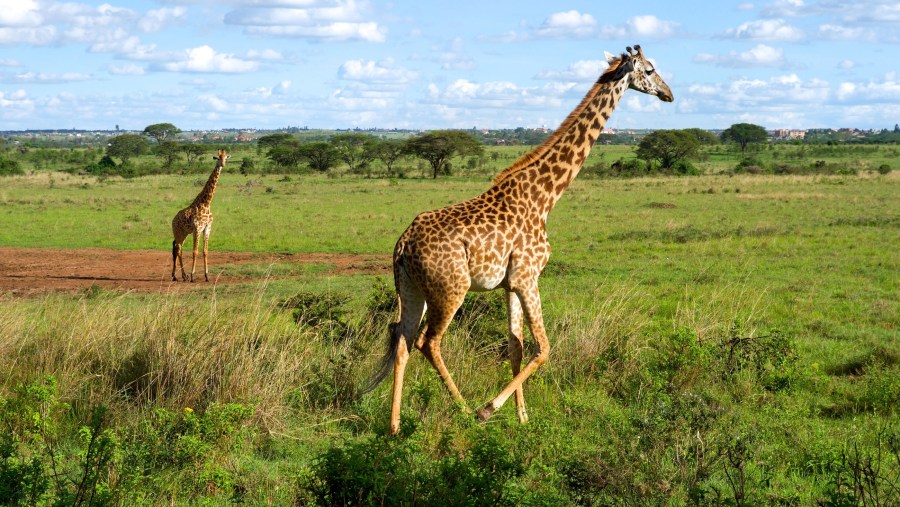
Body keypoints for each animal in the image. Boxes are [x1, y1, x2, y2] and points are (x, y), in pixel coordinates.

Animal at [171, 149, 229, 284]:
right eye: (217, 158)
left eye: (226, 158)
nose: (223, 165)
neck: (206, 203)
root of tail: (173, 220)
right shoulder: (197, 228)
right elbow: (195, 251)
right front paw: (193, 276)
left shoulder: (207, 228)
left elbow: (205, 251)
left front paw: (207, 276)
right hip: (178, 232)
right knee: (178, 249)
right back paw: (181, 276)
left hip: (184, 233)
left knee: (178, 249)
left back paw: (179, 276)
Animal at [368, 45, 676, 434]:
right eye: (649, 70)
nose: (669, 94)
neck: (545, 196)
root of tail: (403, 244)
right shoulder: (528, 276)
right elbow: (543, 348)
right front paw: (490, 409)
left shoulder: (510, 283)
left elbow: (515, 345)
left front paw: (522, 418)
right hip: (450, 289)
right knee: (429, 342)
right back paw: (465, 409)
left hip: (411, 290)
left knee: (403, 340)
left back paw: (394, 426)